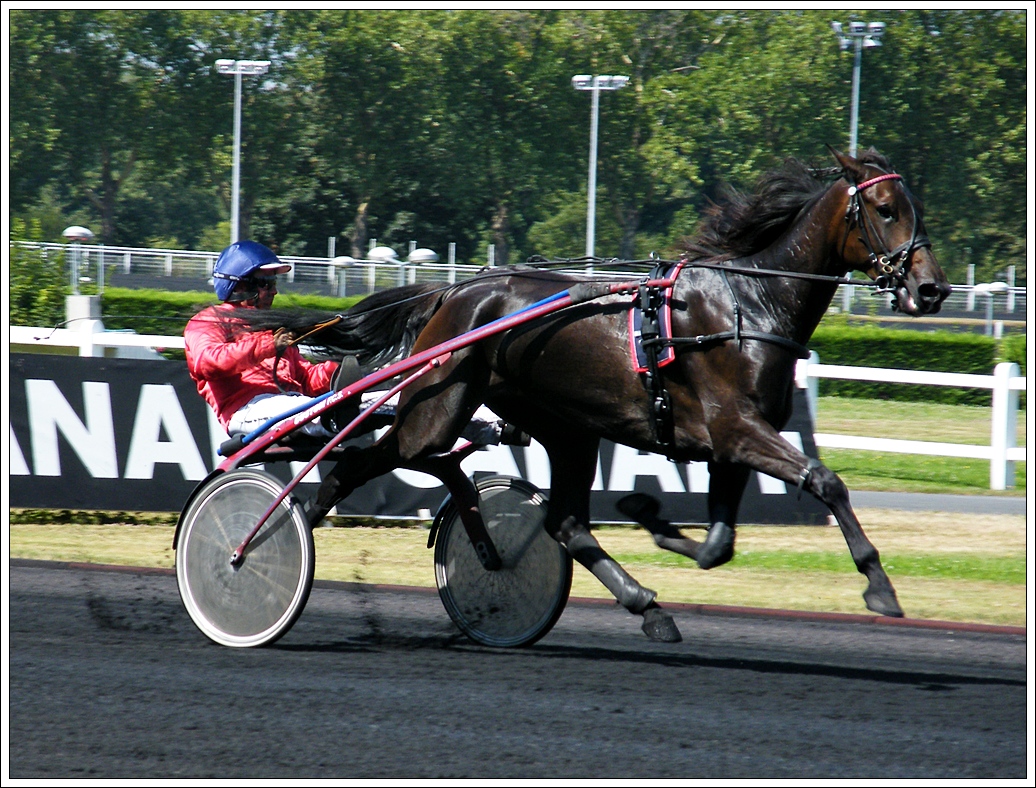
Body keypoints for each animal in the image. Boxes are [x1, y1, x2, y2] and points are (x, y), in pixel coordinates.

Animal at [244, 147, 953, 637]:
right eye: (885, 210)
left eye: (915, 208)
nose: (932, 289)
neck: (749, 304)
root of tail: (451, 292)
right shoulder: (737, 428)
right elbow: (826, 481)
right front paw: (879, 586)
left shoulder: (730, 442)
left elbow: (718, 545)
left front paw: (650, 515)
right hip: (437, 409)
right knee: (361, 463)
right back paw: (266, 542)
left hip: (566, 426)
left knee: (563, 521)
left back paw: (647, 607)